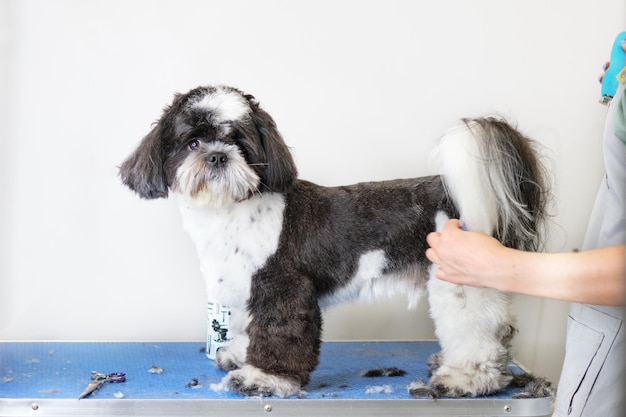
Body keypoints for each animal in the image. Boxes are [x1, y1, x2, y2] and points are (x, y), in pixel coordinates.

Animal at [119, 84, 548, 396]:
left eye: (240, 142)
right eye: (191, 142)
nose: (217, 156)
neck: (230, 210)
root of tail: (456, 195)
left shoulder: (284, 287)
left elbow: (279, 331)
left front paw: (265, 377)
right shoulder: (244, 284)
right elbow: (247, 324)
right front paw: (241, 355)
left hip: (459, 283)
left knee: (479, 332)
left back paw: (467, 378)